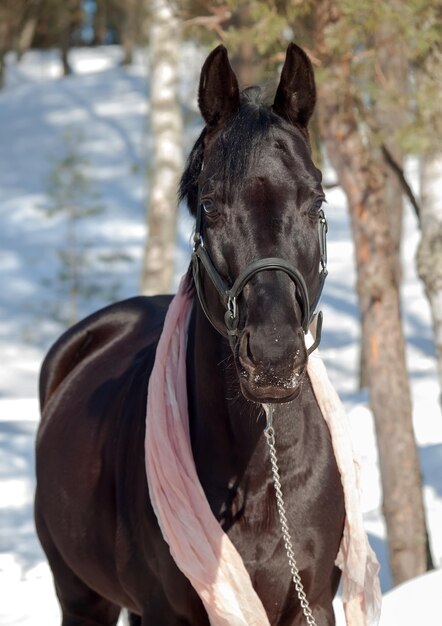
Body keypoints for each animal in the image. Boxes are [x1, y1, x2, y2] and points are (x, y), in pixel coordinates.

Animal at [34, 45, 346, 624]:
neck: (260, 477)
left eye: (316, 203)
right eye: (210, 206)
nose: (273, 354)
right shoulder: (167, 610)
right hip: (82, 597)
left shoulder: (312, 603)